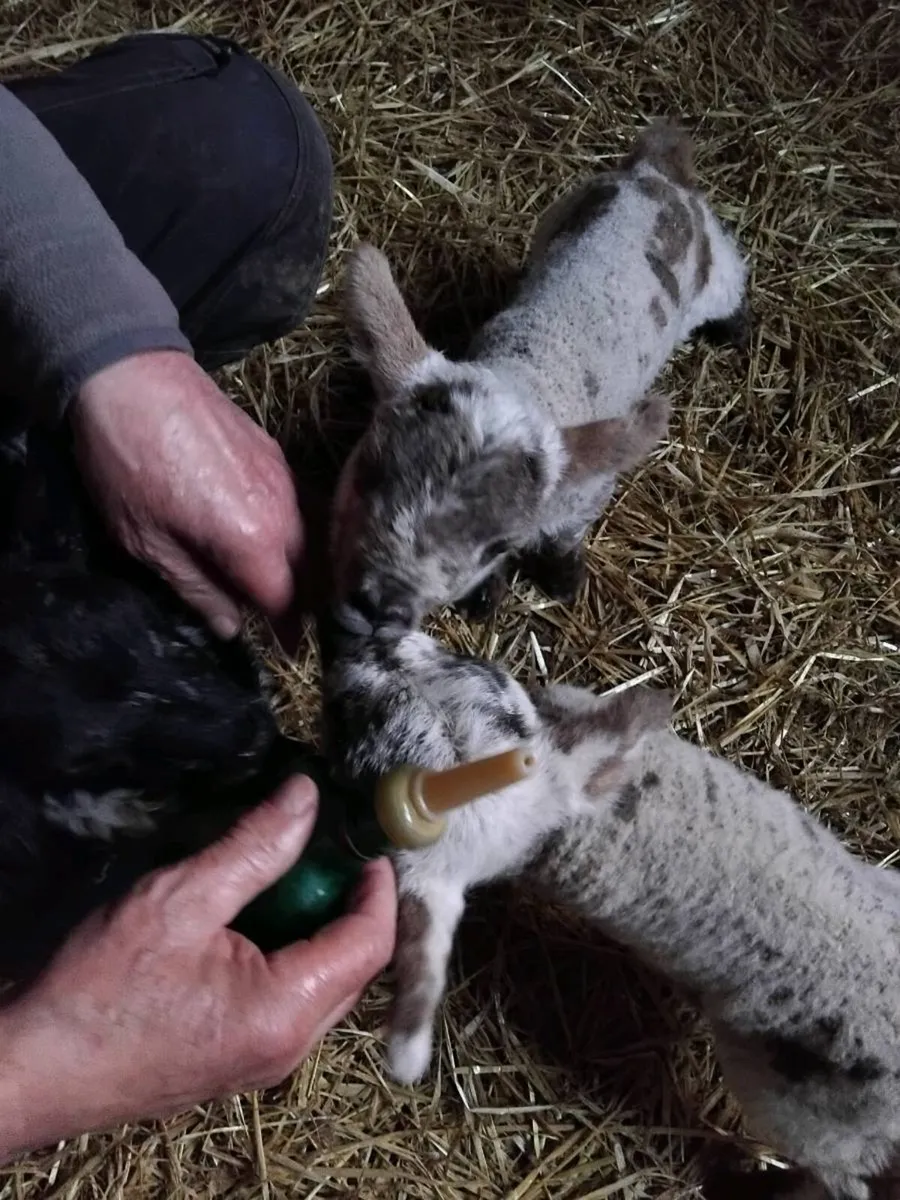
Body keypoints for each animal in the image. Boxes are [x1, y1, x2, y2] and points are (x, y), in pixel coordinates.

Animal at [330, 118, 749, 630]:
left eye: (498, 546)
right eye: (366, 473)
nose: (377, 606)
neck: (528, 370)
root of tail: (656, 171)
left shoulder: (587, 491)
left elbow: (566, 537)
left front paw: (563, 580)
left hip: (718, 266)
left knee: (734, 284)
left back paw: (739, 329)